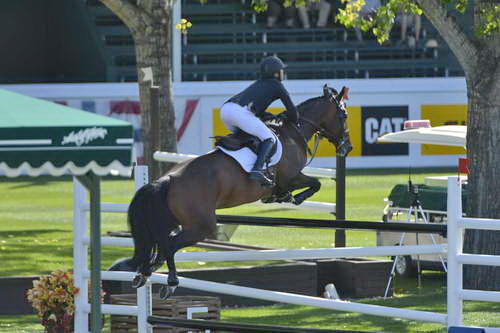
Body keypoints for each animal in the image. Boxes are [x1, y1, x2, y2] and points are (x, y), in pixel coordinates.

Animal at [125, 83, 352, 296]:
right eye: (344, 115)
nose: (347, 147)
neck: (292, 133)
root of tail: (168, 179)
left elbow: (314, 183)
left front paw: (283, 197)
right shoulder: (291, 177)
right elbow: (315, 183)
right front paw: (291, 197)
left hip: (174, 220)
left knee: (162, 245)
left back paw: (145, 272)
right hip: (202, 226)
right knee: (171, 244)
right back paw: (170, 282)